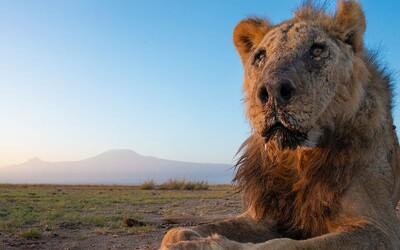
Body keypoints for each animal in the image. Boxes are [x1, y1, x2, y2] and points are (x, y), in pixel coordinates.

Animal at [160, 0, 400, 249]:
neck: (297, 157)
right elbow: (176, 232)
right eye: (260, 56)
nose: (273, 90)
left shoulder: (380, 228)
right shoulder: (264, 215)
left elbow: (282, 244)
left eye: (317, 50)